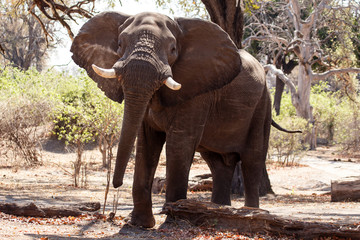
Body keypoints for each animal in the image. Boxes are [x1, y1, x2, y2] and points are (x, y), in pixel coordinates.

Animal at [70, 11, 296, 229]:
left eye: (172, 49)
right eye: (119, 44)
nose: (116, 185)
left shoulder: (197, 90)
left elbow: (179, 144)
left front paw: (174, 217)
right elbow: (146, 144)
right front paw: (140, 224)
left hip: (262, 107)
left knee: (252, 162)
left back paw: (250, 215)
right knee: (219, 165)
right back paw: (220, 212)